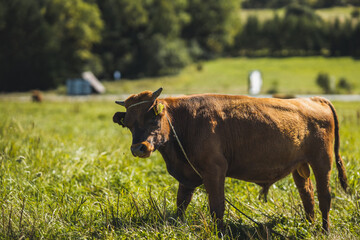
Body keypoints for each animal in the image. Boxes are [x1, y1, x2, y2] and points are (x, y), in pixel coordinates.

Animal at [114, 88, 348, 232]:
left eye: (153, 117)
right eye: (129, 124)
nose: (138, 148)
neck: (184, 119)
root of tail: (314, 99)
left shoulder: (214, 171)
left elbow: (217, 206)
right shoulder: (187, 175)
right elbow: (181, 203)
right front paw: (176, 225)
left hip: (322, 164)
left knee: (324, 197)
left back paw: (324, 231)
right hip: (300, 167)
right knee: (307, 195)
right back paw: (309, 225)